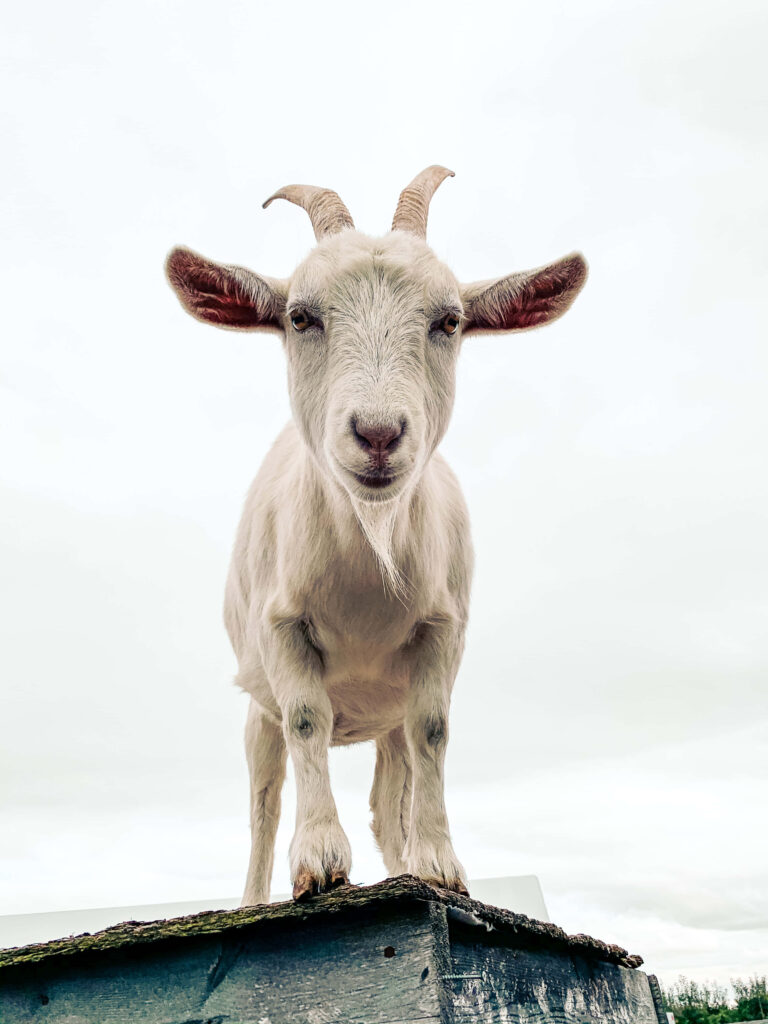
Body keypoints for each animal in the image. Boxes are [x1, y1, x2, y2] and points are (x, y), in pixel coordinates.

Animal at [166, 167, 587, 904]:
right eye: (299, 316)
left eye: (449, 321)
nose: (379, 433)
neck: (370, 553)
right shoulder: (282, 628)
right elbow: (307, 720)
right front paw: (318, 862)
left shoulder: (442, 632)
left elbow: (434, 733)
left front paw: (440, 866)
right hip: (256, 710)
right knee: (263, 801)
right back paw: (252, 896)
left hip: (384, 720)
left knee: (390, 799)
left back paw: (405, 861)